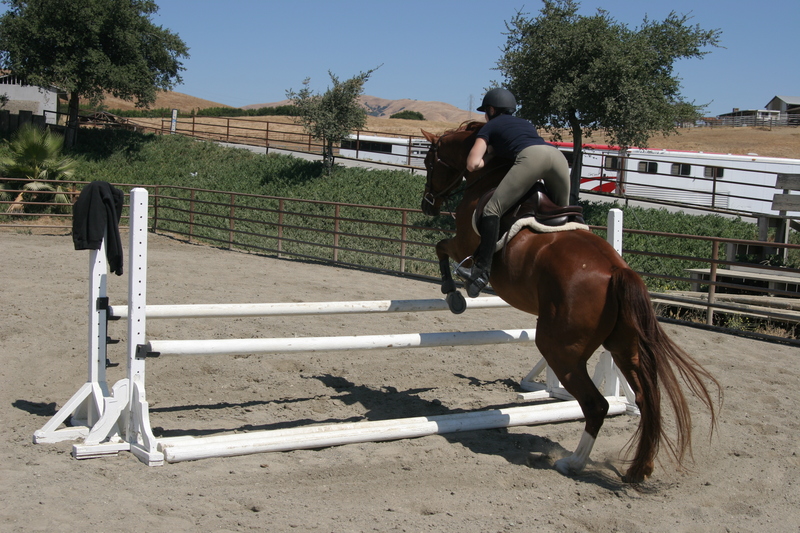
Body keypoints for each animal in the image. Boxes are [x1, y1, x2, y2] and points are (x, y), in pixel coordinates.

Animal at [419, 122, 719, 483]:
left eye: (429, 163)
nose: (427, 205)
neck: (489, 176)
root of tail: (617, 271)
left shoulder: (464, 241)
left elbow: (441, 247)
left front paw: (455, 291)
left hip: (559, 347)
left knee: (596, 405)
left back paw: (573, 463)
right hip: (623, 346)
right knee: (647, 398)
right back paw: (639, 468)